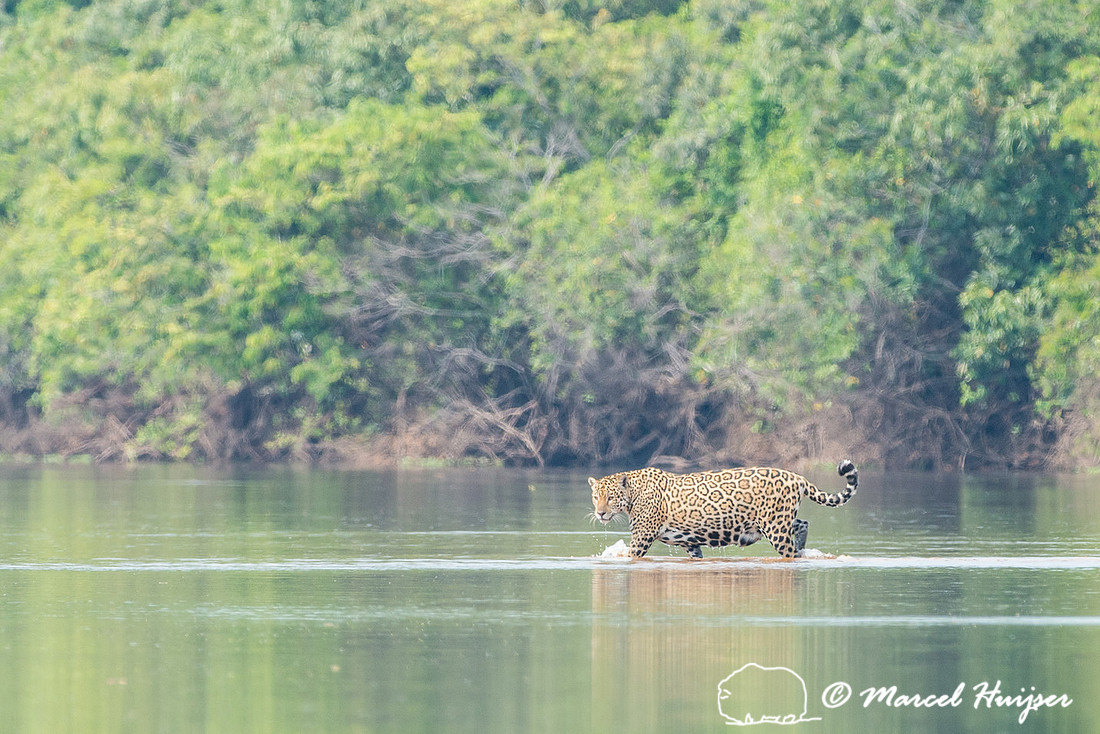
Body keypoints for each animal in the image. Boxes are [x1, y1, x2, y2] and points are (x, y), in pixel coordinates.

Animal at [588, 460, 857, 559]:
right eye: (595, 497)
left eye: (610, 498)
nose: (600, 513)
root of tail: (797, 477)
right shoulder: (689, 543)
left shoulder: (641, 540)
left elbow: (630, 555)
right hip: (777, 521)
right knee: (802, 524)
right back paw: (803, 545)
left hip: (776, 529)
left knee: (789, 550)